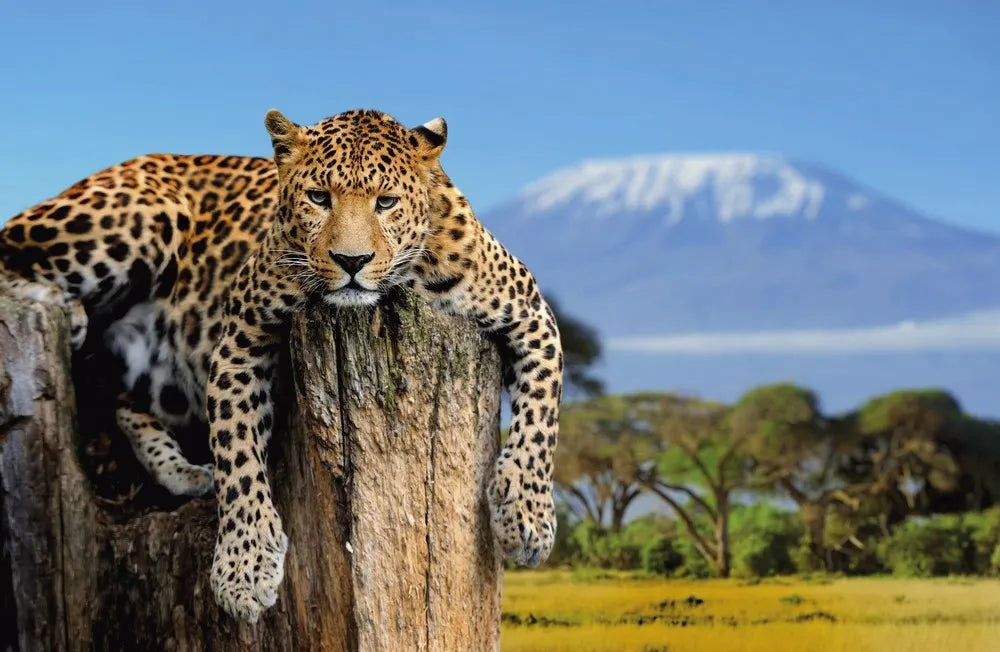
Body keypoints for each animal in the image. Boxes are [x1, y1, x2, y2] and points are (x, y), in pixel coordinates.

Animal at [0, 108, 562, 622]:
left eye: (385, 202)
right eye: (318, 197)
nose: (351, 262)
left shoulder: (533, 315)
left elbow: (542, 418)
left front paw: (527, 518)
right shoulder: (240, 337)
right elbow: (238, 454)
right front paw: (244, 569)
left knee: (124, 403)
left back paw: (185, 472)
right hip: (137, 216)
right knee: (11, 249)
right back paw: (66, 309)